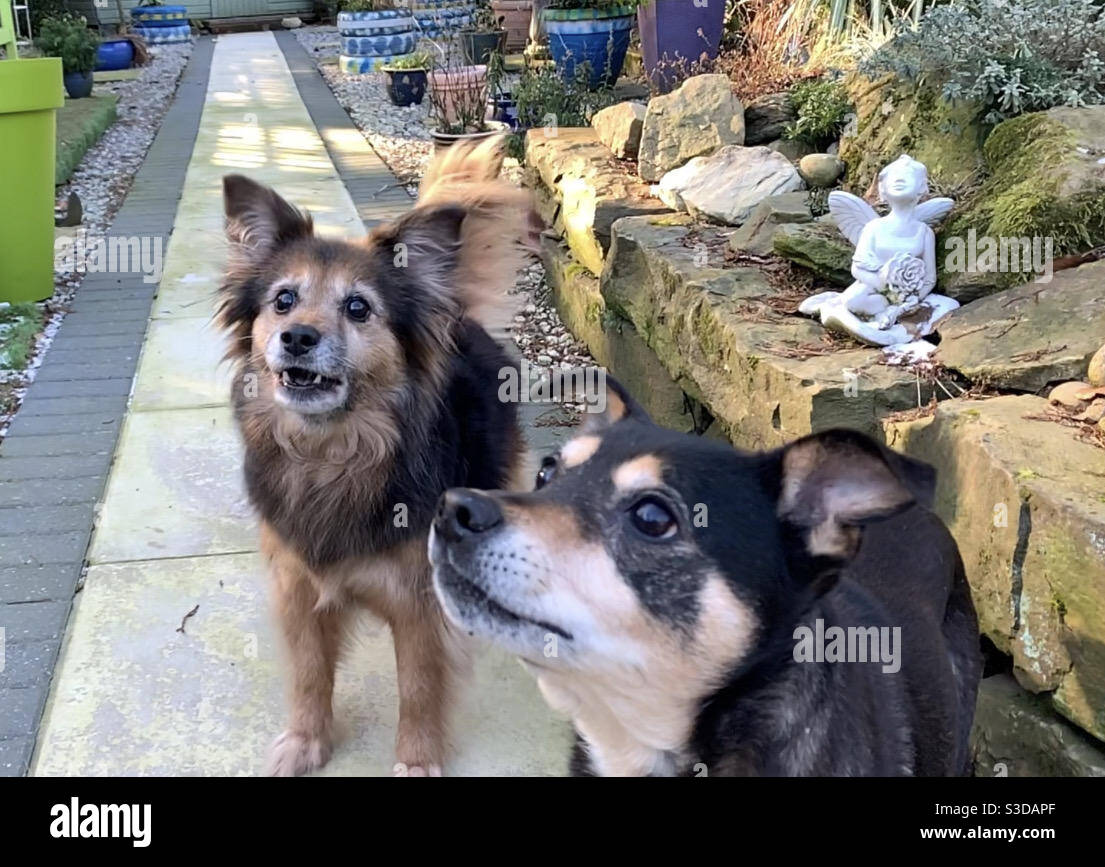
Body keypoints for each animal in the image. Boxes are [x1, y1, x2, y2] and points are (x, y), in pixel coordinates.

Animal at [214, 138, 534, 773]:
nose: (298, 338)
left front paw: (415, 760)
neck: (332, 453)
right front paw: (306, 741)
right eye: (283, 300)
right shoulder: (298, 589)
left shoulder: (417, 605)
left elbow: (419, 686)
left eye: (358, 308)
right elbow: (310, 674)